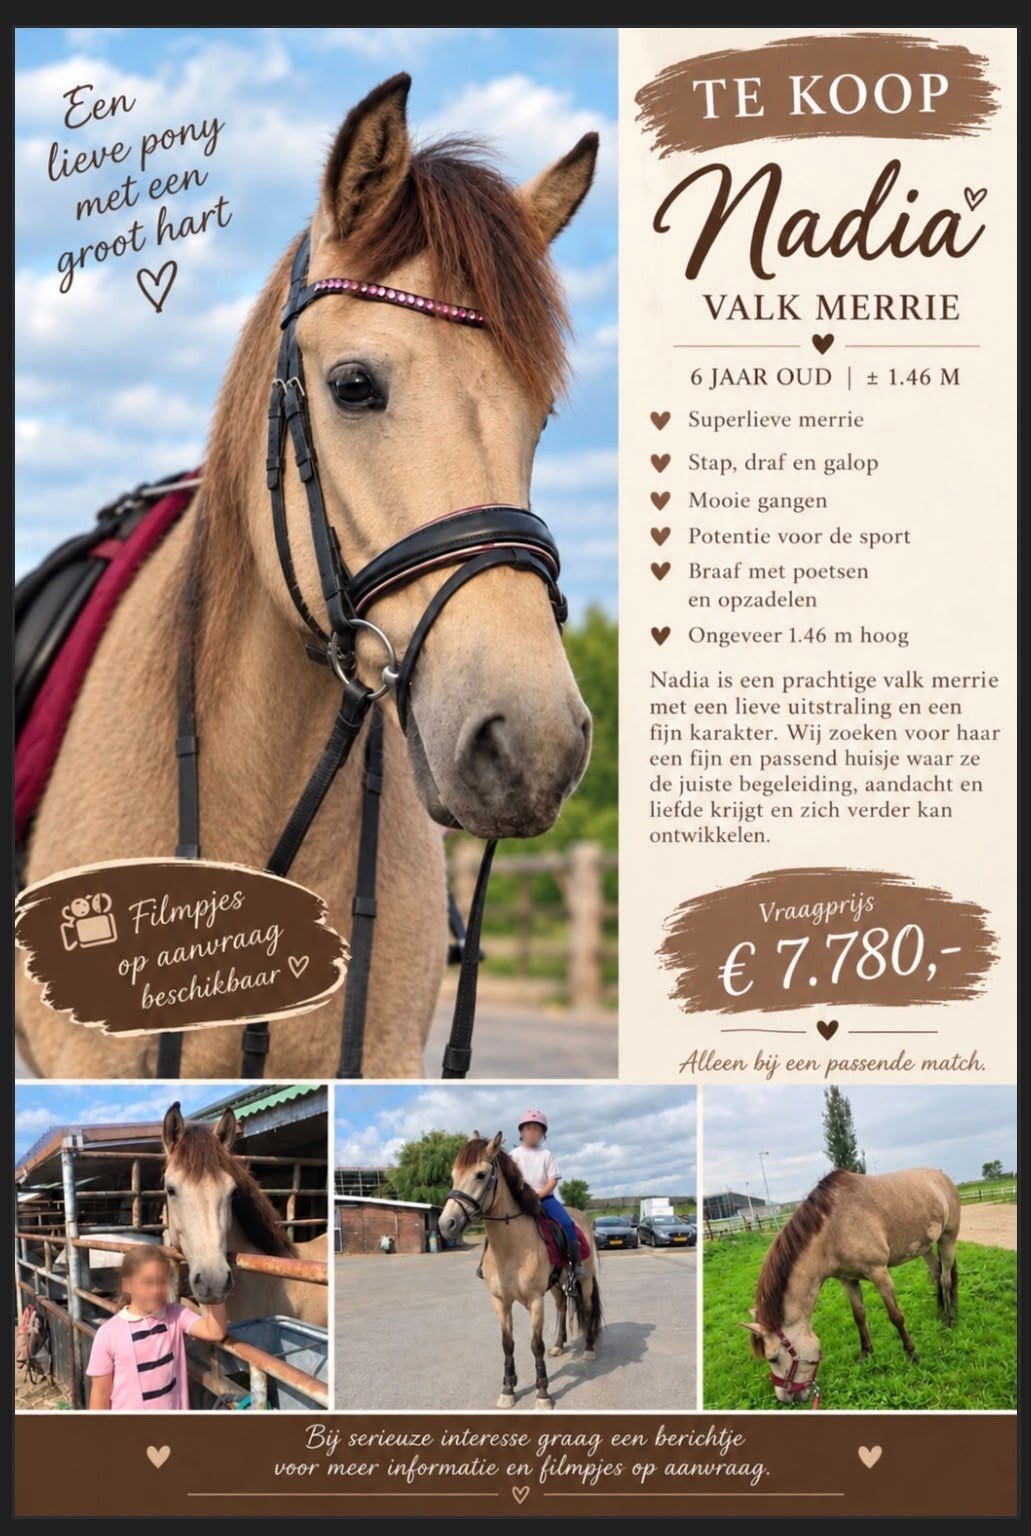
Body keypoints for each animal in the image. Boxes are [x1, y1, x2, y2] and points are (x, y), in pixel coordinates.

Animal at [439, 1133, 602, 1410]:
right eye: (453, 1174)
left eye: (481, 1174)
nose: (446, 1224)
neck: (511, 1248)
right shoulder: (500, 1301)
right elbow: (507, 1344)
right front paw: (508, 1389)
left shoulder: (535, 1301)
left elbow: (535, 1345)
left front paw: (543, 1394)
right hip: (557, 1284)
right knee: (561, 1306)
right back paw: (559, 1345)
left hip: (587, 1279)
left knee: (589, 1309)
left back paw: (590, 1349)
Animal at [741, 1167, 961, 1405]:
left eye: (772, 1358)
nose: (784, 1399)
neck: (834, 1229)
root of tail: (942, 1176)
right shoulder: (848, 1280)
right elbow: (859, 1316)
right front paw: (866, 1353)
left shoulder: (879, 1273)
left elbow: (896, 1316)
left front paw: (912, 1353)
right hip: (925, 1247)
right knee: (937, 1273)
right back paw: (941, 1309)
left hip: (947, 1238)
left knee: (946, 1278)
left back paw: (949, 1319)